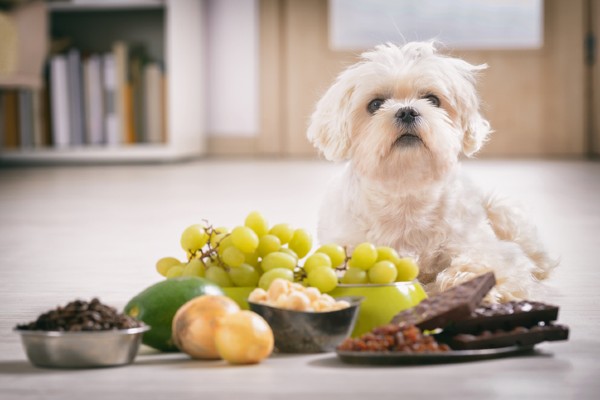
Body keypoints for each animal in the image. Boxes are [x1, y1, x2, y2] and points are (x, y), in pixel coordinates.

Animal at [310, 42, 556, 302]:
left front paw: (467, 282)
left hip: (502, 211)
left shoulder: (488, 248)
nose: (407, 111)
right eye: (375, 104)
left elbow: (486, 262)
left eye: (432, 99)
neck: (406, 190)